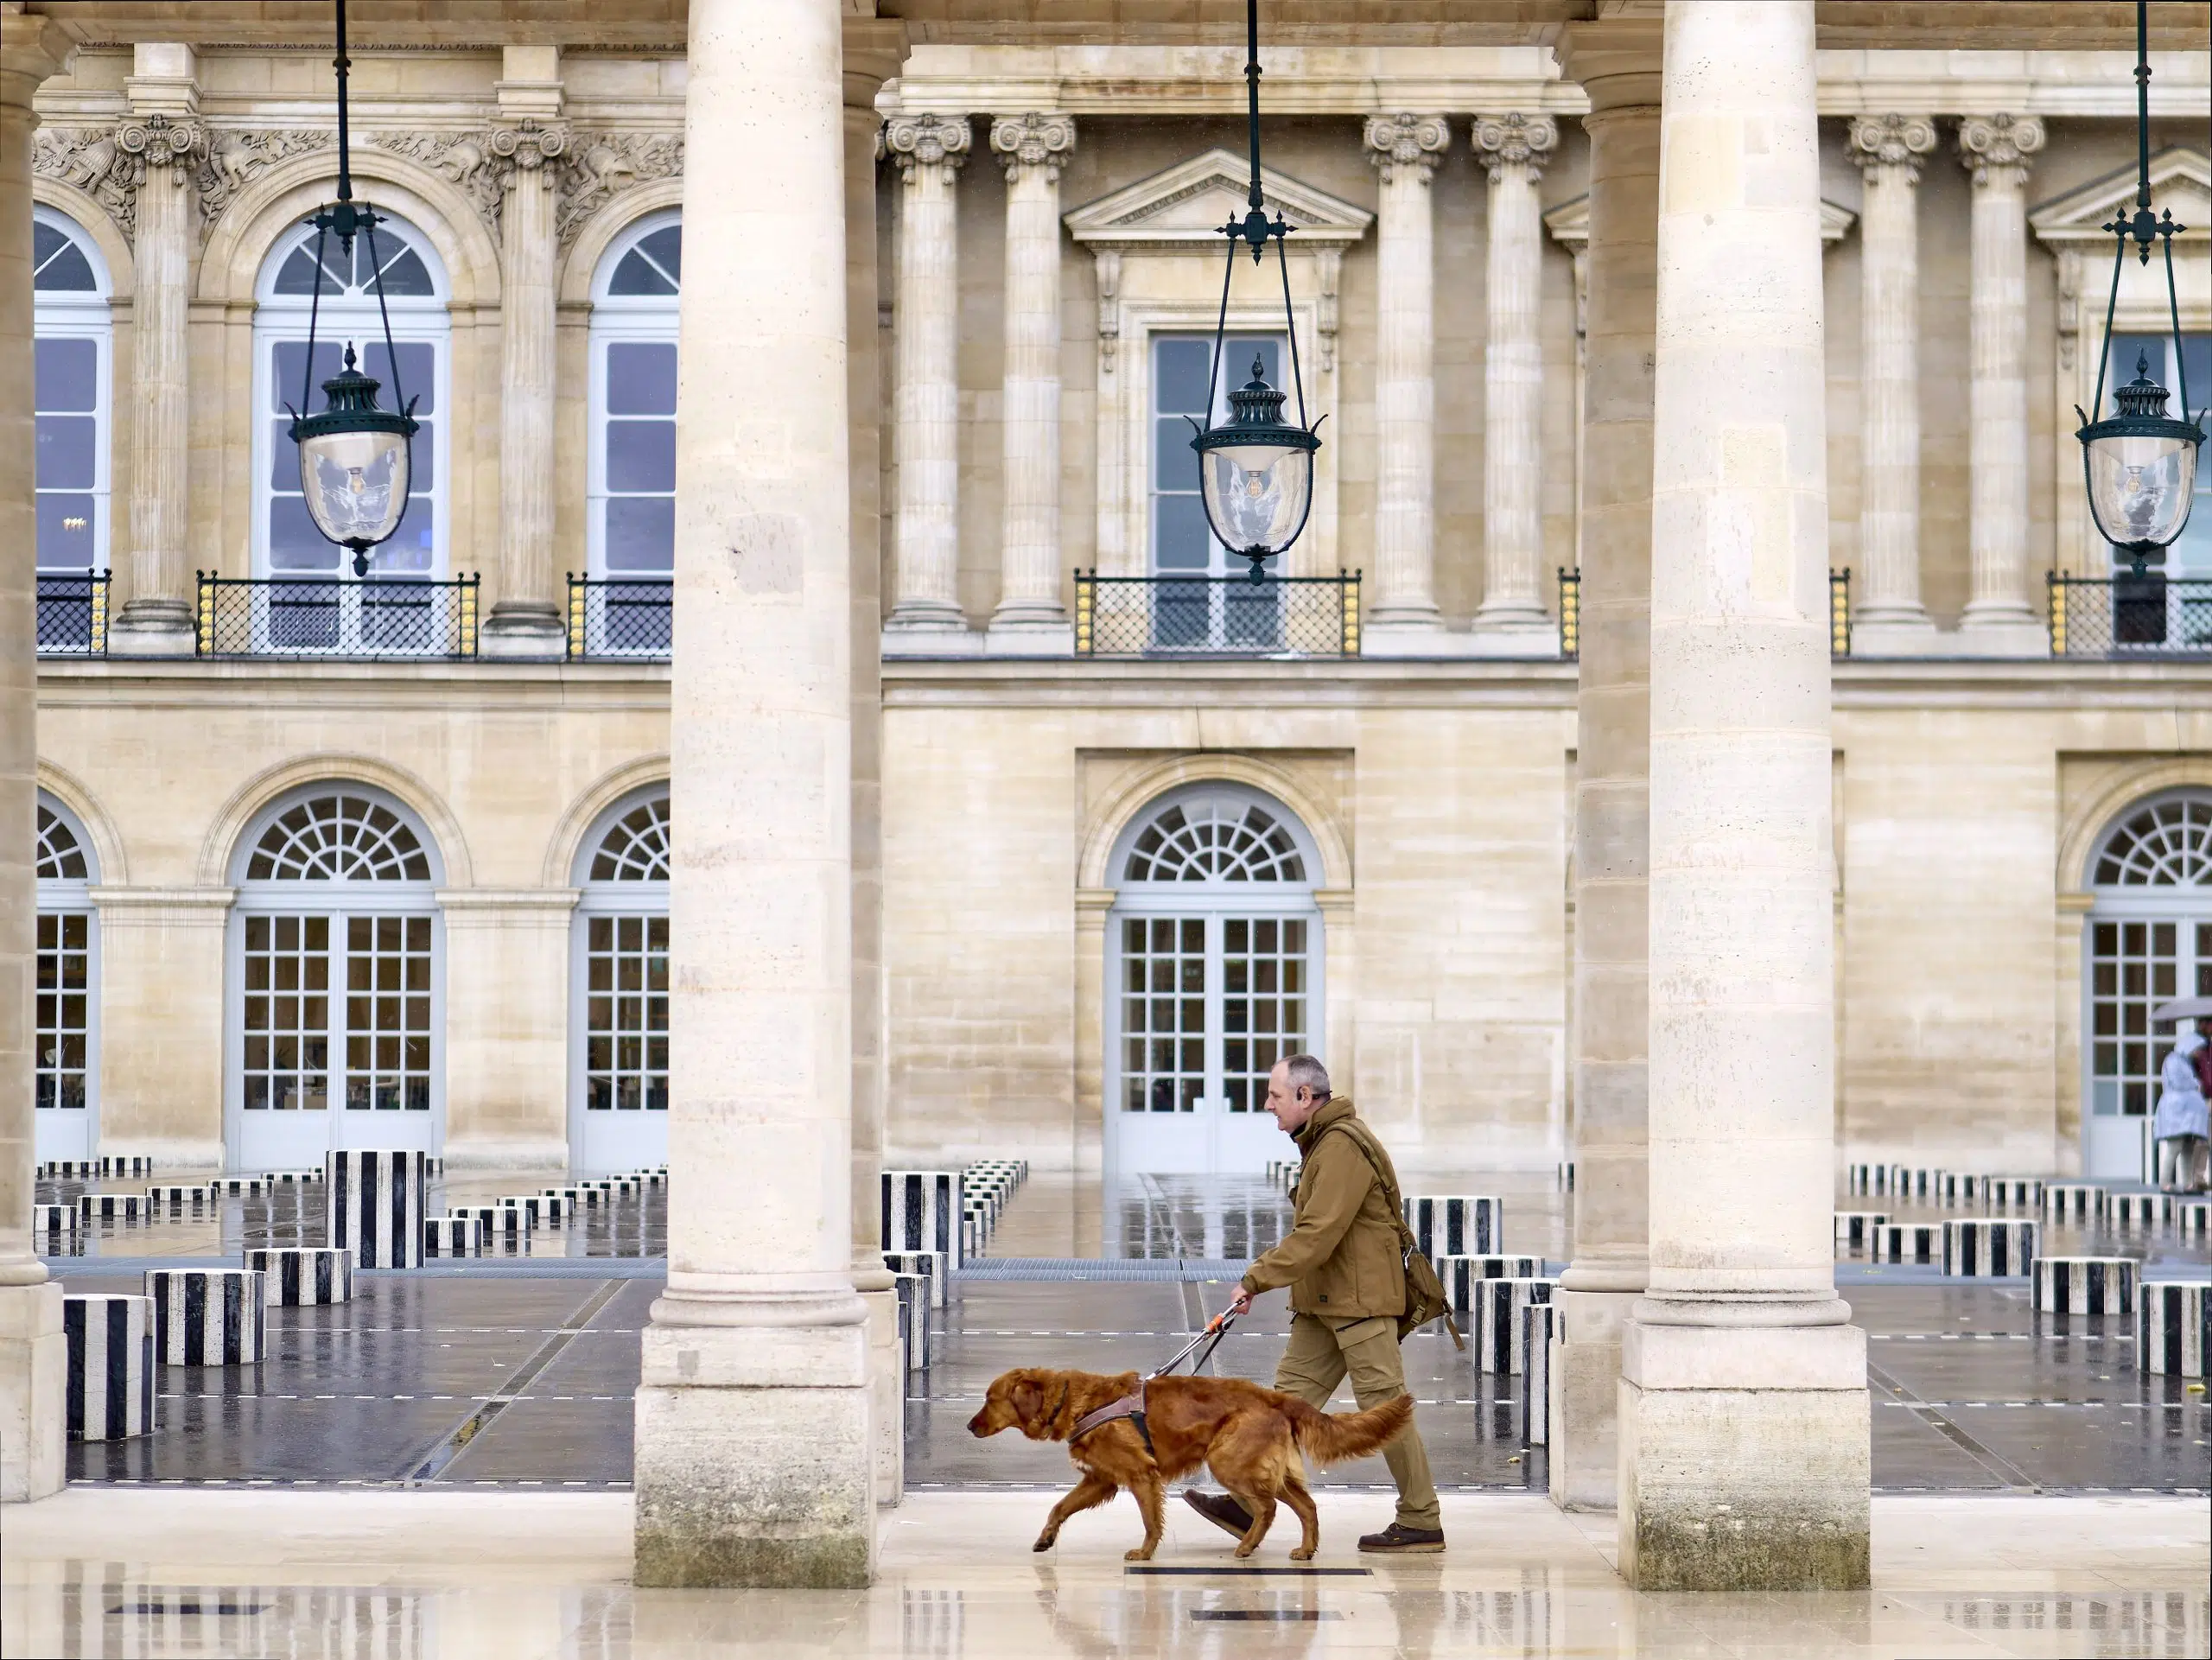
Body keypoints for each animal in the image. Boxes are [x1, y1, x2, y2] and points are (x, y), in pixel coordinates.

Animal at [969, 1372, 1415, 1567]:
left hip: (1228, 1461)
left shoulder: (1140, 1475)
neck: (1077, 1400)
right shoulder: (1101, 1478)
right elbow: (1059, 1507)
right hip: (1266, 1470)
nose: (970, 1426)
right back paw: (1305, 1550)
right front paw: (1045, 1539)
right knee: (1305, 1506)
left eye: (990, 1398)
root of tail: (1275, 1398)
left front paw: (1144, 1553)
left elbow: (1151, 1520)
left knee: (1267, 1508)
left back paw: (1247, 1546)